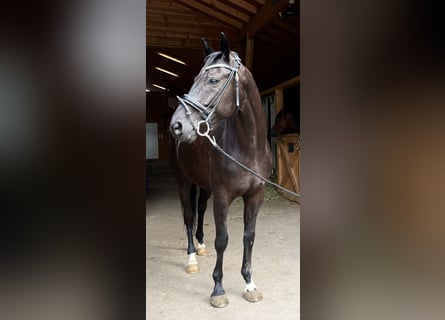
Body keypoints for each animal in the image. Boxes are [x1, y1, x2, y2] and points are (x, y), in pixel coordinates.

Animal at [169, 32, 270, 308]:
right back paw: (192, 258)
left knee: (200, 209)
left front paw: (249, 284)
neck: (248, 148)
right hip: (183, 182)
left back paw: (201, 246)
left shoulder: (255, 196)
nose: (177, 125)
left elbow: (249, 236)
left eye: (213, 80)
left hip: (204, 186)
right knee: (188, 215)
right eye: (194, 79)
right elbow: (222, 240)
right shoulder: (223, 196)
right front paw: (218, 290)